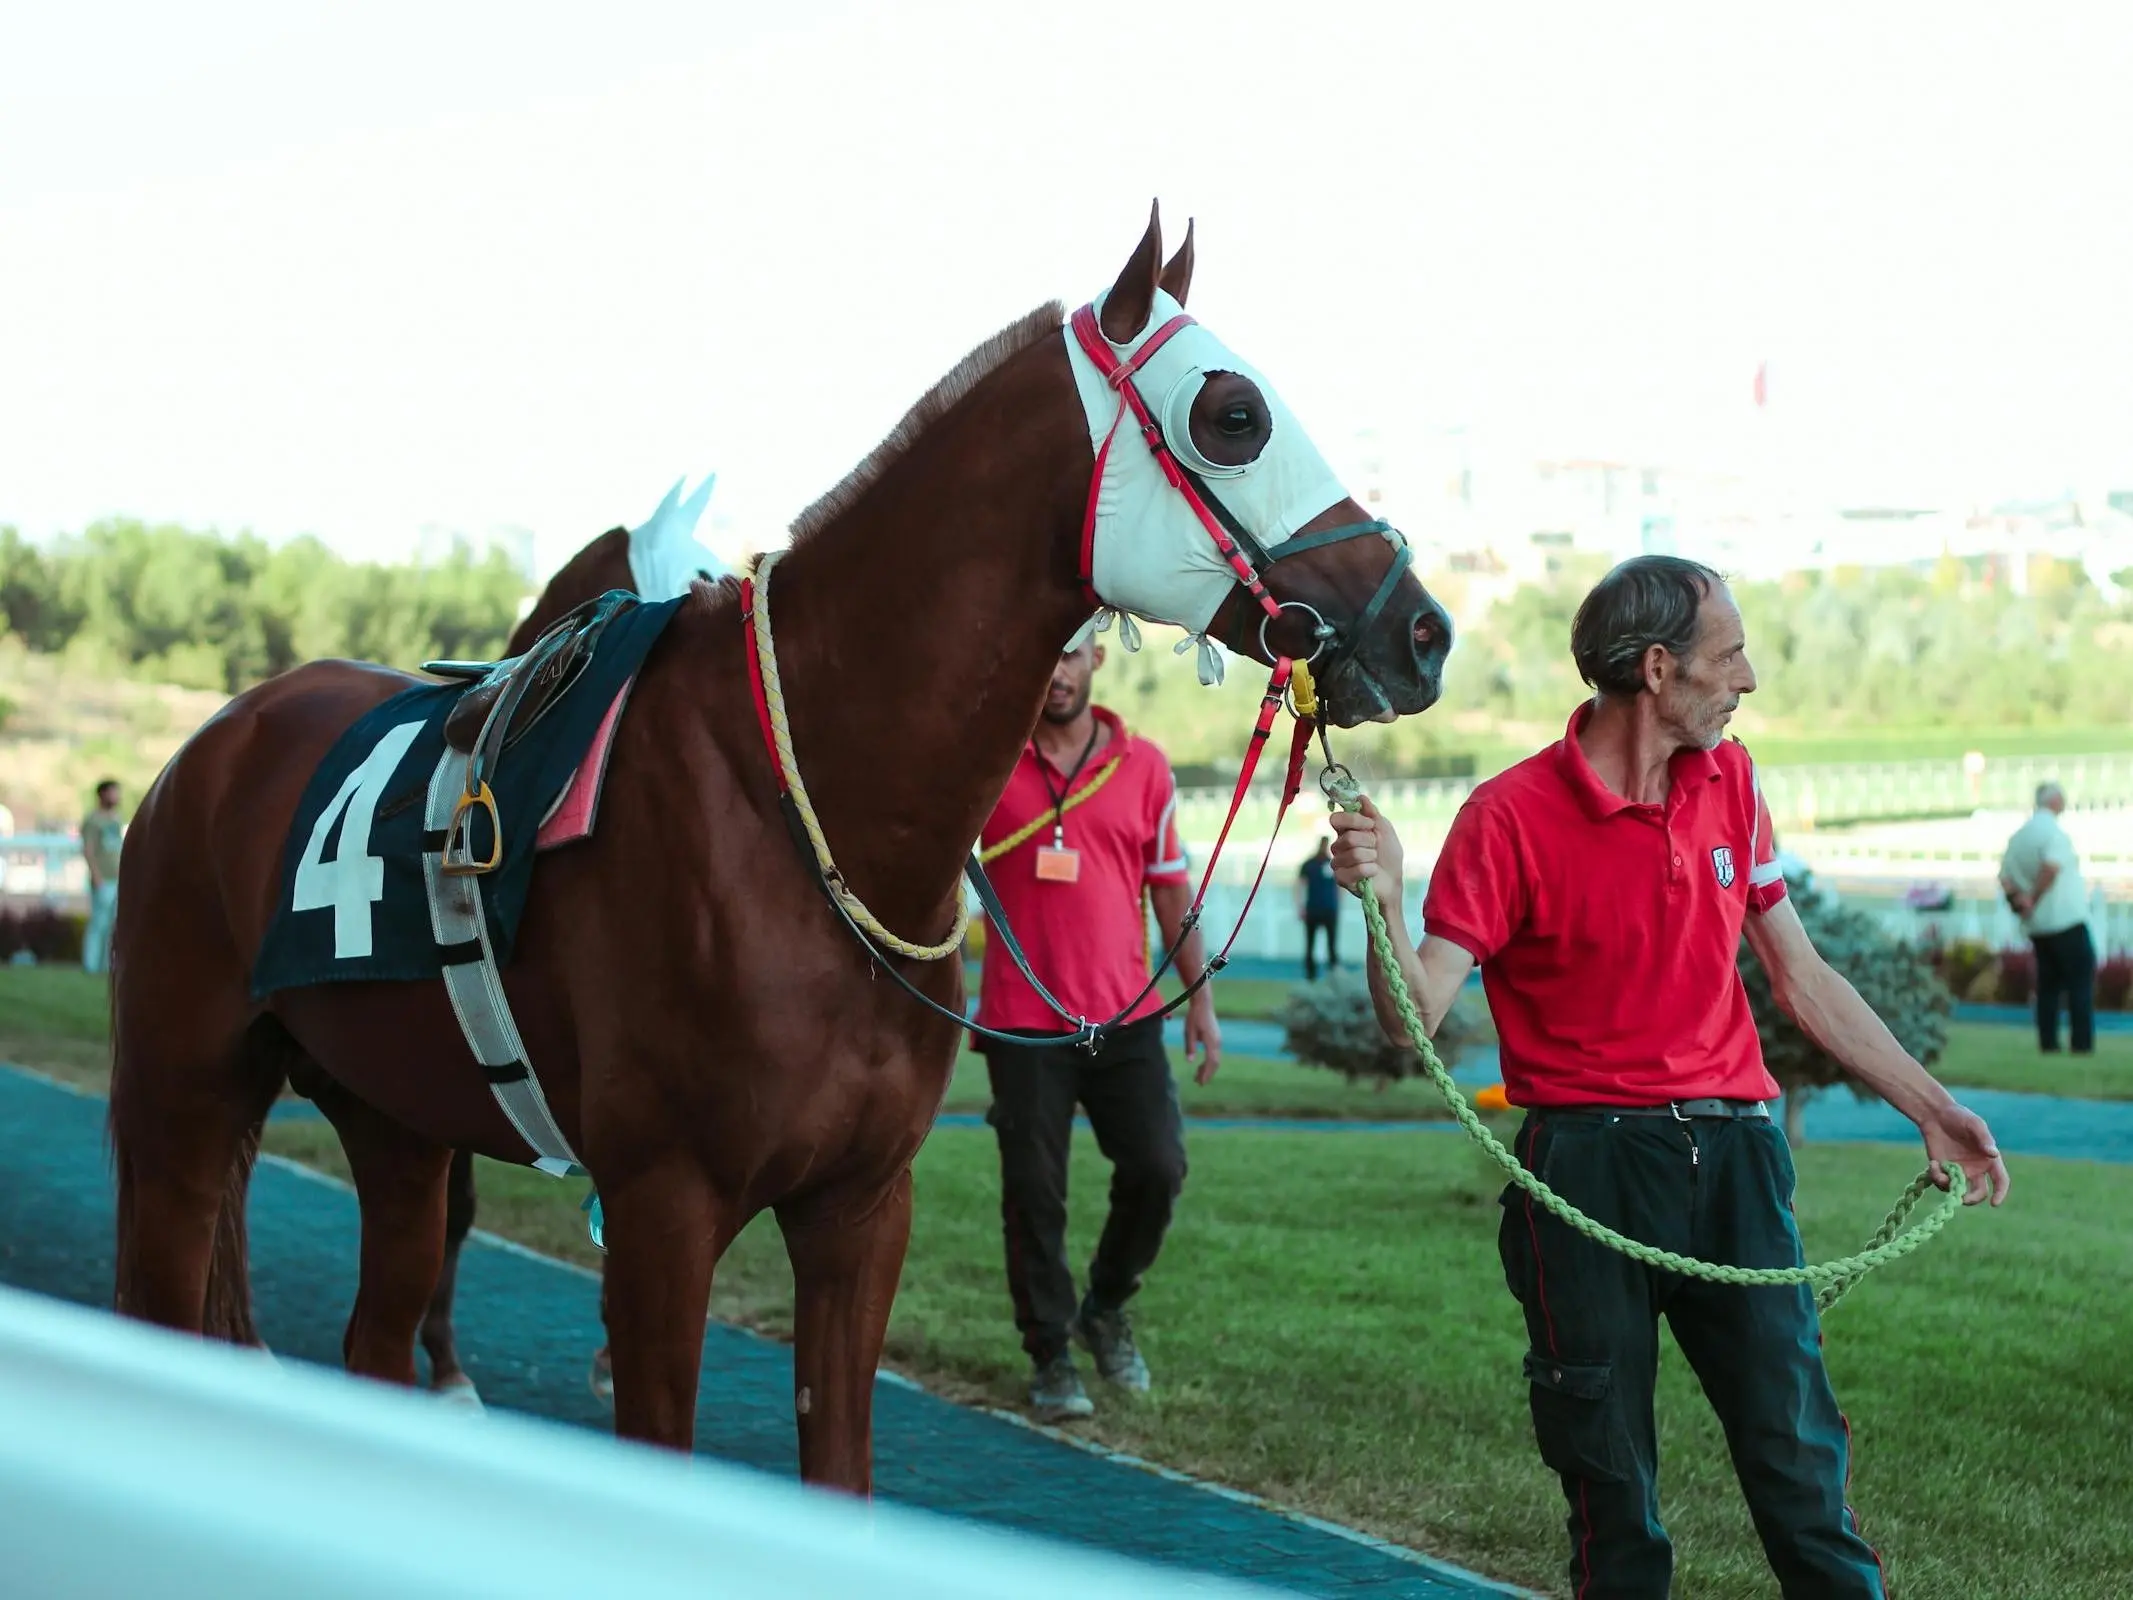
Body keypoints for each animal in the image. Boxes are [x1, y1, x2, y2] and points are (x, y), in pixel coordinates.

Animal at [108, 206, 1458, 1501]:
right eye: (1234, 416)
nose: (1423, 629)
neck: (808, 808)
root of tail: (215, 741)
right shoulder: (660, 1207)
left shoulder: (861, 1208)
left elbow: (841, 1462)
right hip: (181, 1098)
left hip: (396, 1121)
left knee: (376, 1338)